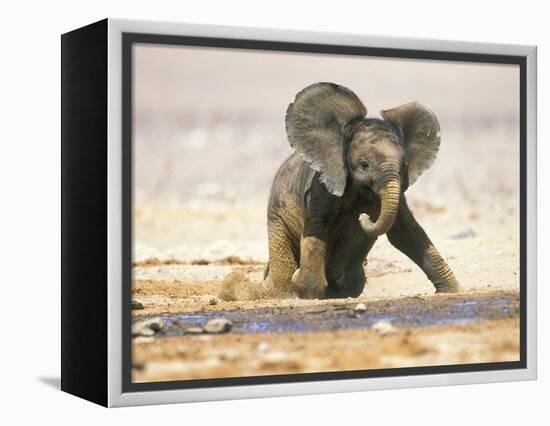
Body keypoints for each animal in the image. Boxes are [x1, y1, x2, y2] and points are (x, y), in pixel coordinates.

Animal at [220, 82, 462, 300]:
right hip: (277, 218)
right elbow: (318, 231)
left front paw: (452, 291)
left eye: (404, 166)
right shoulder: (321, 187)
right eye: (364, 165)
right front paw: (308, 292)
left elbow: (405, 233)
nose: (365, 217)